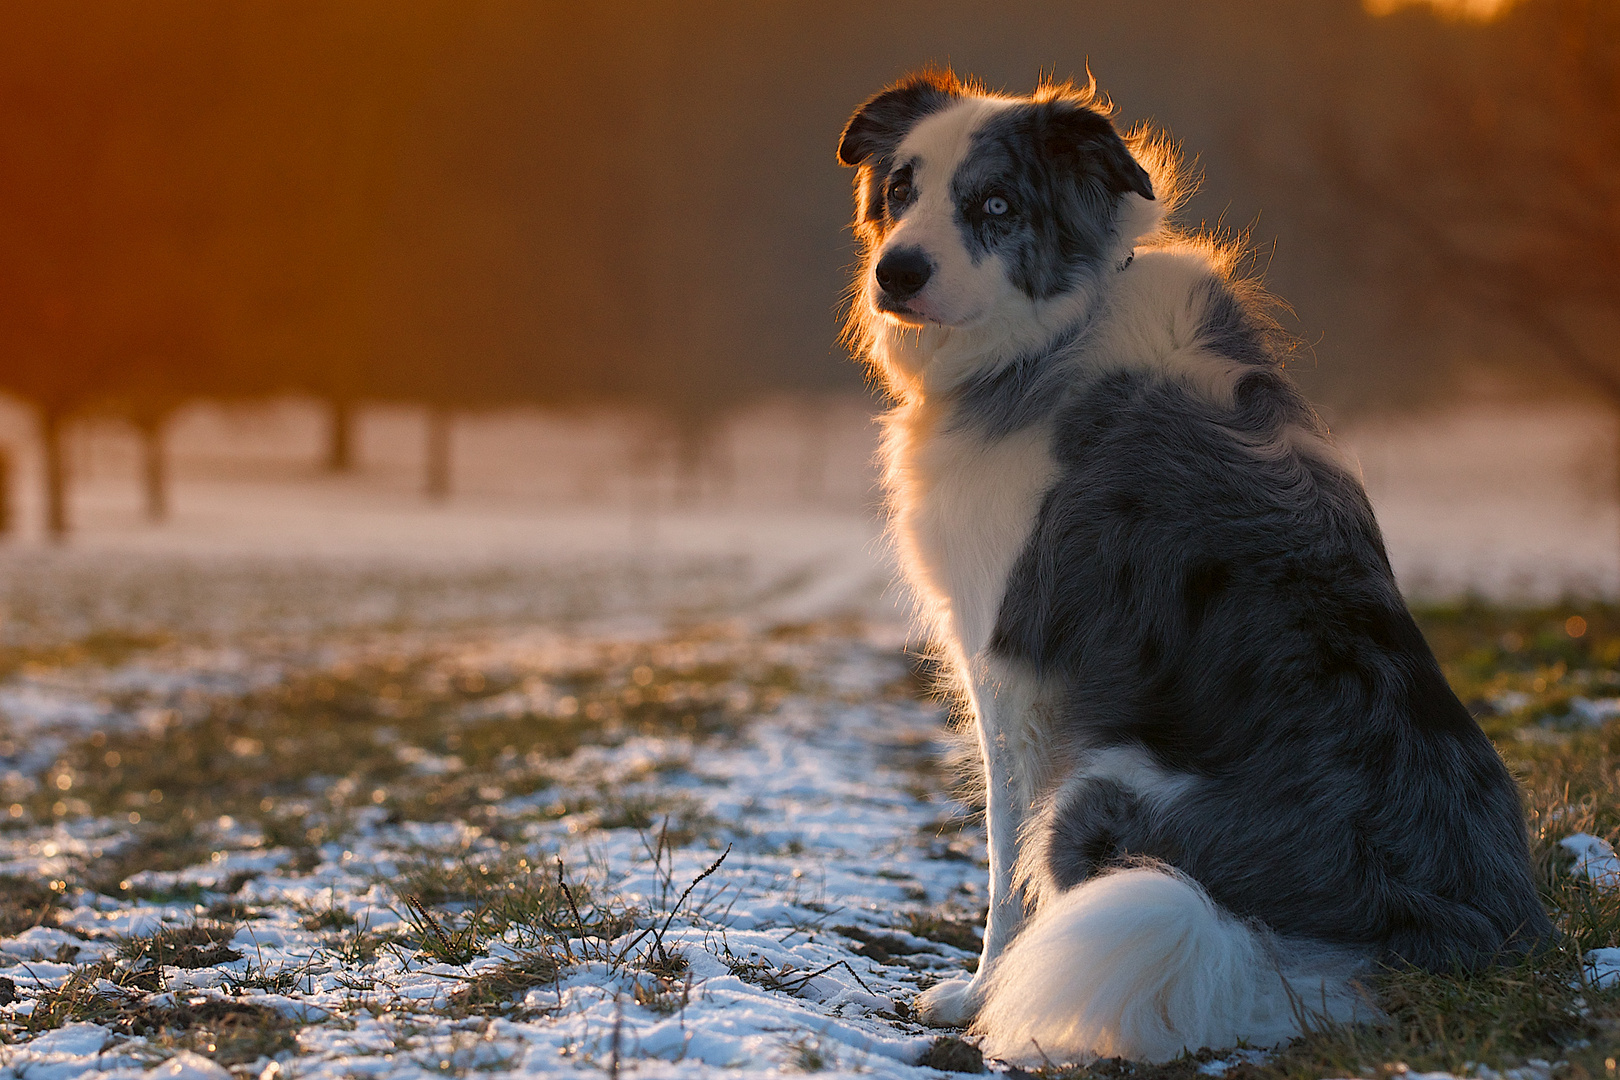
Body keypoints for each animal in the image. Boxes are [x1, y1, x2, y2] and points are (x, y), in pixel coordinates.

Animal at [842, 71, 1548, 1068]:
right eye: (902, 188)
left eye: (996, 205)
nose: (897, 272)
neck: (1054, 333)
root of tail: (1463, 938)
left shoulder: (1014, 677)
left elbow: (1005, 872)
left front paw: (979, 996)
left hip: (1101, 793)